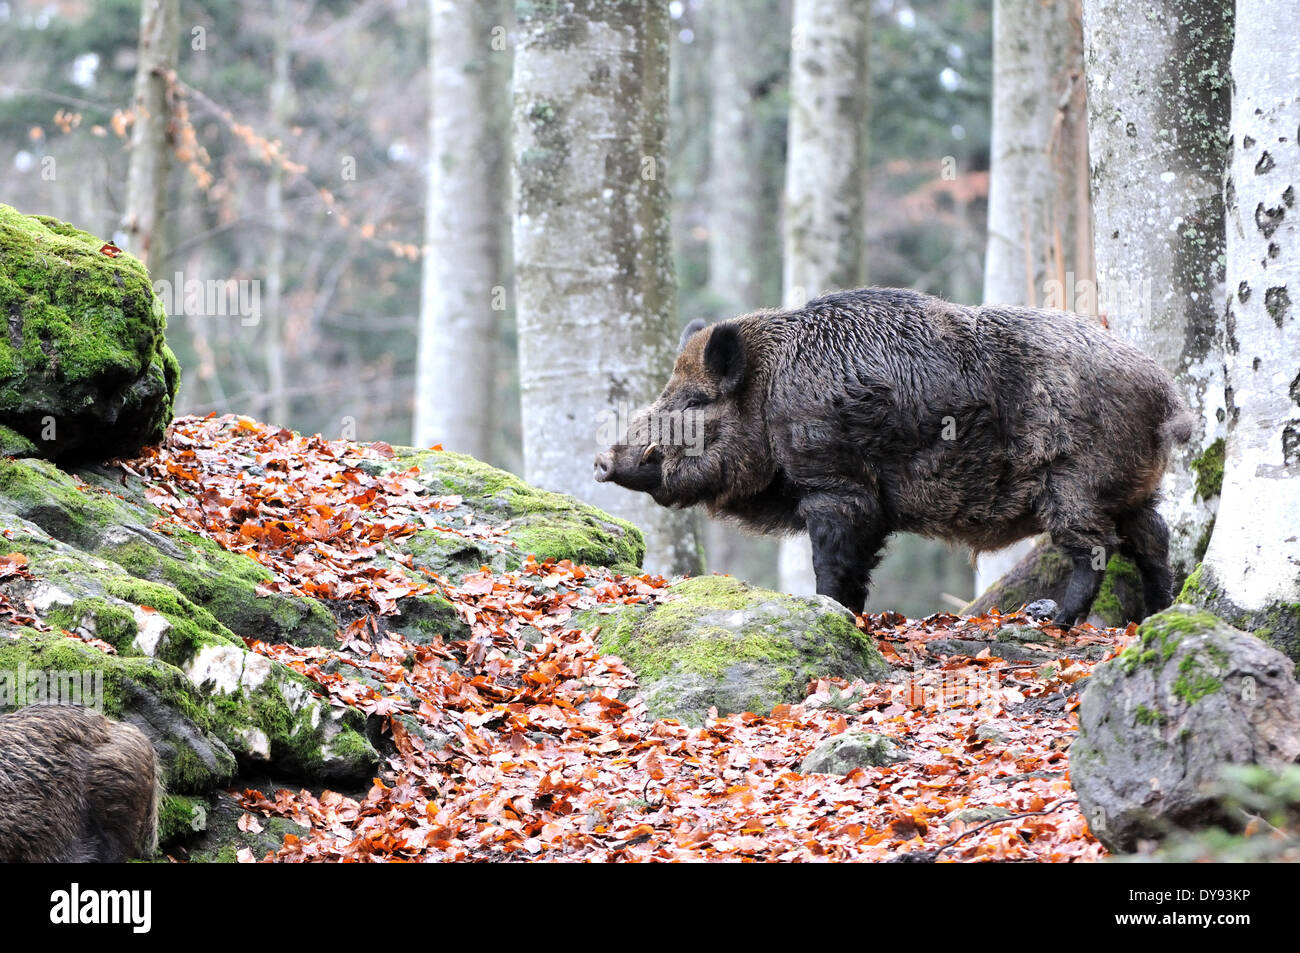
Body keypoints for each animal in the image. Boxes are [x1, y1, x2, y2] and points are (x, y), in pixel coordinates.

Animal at [595, 288, 1192, 624]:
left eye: (695, 401)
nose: (602, 460)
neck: (767, 394)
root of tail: (1164, 390)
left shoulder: (836, 487)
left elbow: (832, 562)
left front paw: (830, 610)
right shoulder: (867, 506)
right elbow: (857, 570)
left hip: (1074, 483)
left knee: (1097, 548)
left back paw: (1052, 619)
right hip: (1132, 487)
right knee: (1153, 538)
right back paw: (1160, 613)